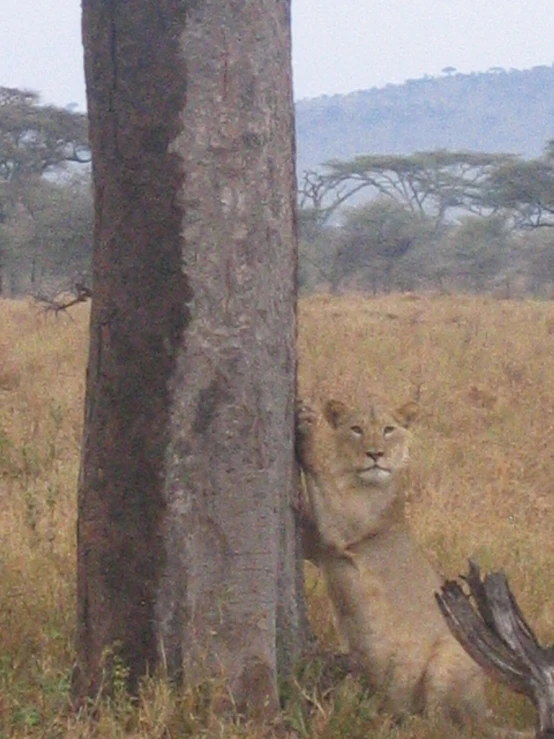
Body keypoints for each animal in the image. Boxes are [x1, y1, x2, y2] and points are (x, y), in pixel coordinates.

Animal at [296, 394, 528, 736]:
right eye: (356, 429)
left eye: (388, 429)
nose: (375, 454)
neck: (357, 480)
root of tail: (482, 707)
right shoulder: (320, 547)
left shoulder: (345, 526)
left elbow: (320, 473)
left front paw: (307, 430)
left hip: (448, 659)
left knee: (447, 725)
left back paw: (408, 722)